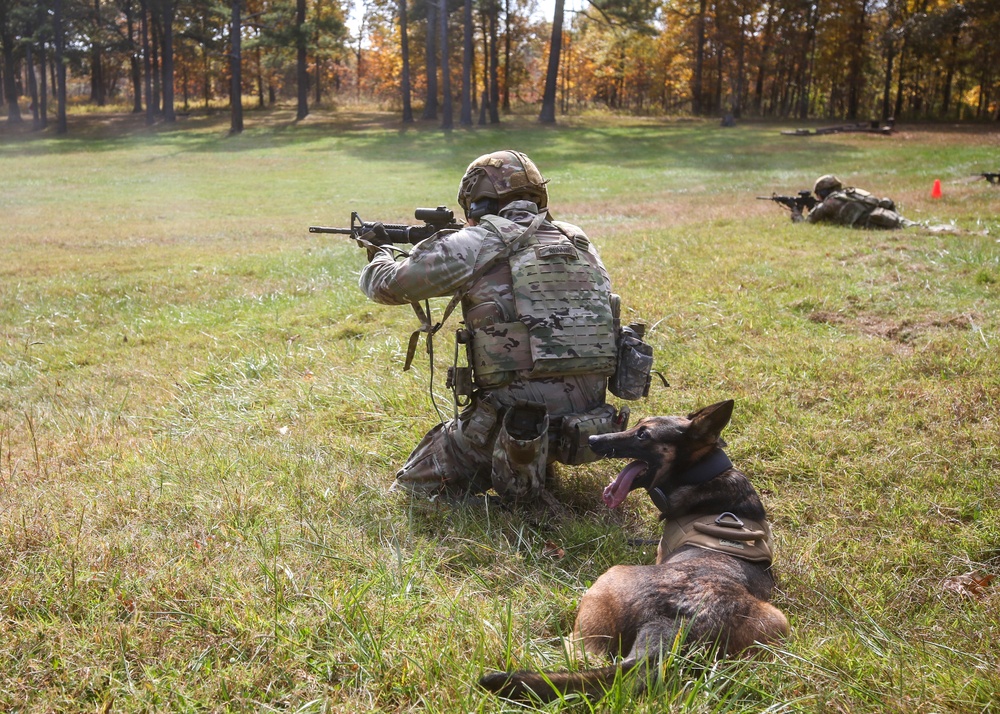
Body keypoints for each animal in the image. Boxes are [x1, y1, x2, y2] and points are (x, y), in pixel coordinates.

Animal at [476, 400, 788, 700]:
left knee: (584, 657)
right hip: (778, 624)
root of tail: (672, 623)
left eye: (643, 435)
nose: (593, 439)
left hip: (608, 582)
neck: (703, 474)